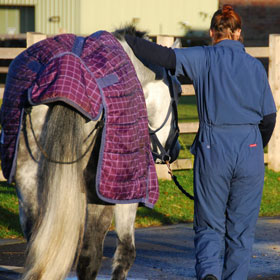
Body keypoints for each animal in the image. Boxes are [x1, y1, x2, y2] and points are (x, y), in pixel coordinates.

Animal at [7, 26, 180, 280]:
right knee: (90, 257)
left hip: (28, 189)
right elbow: (125, 253)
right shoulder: (123, 195)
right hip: (101, 196)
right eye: (179, 91)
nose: (175, 149)